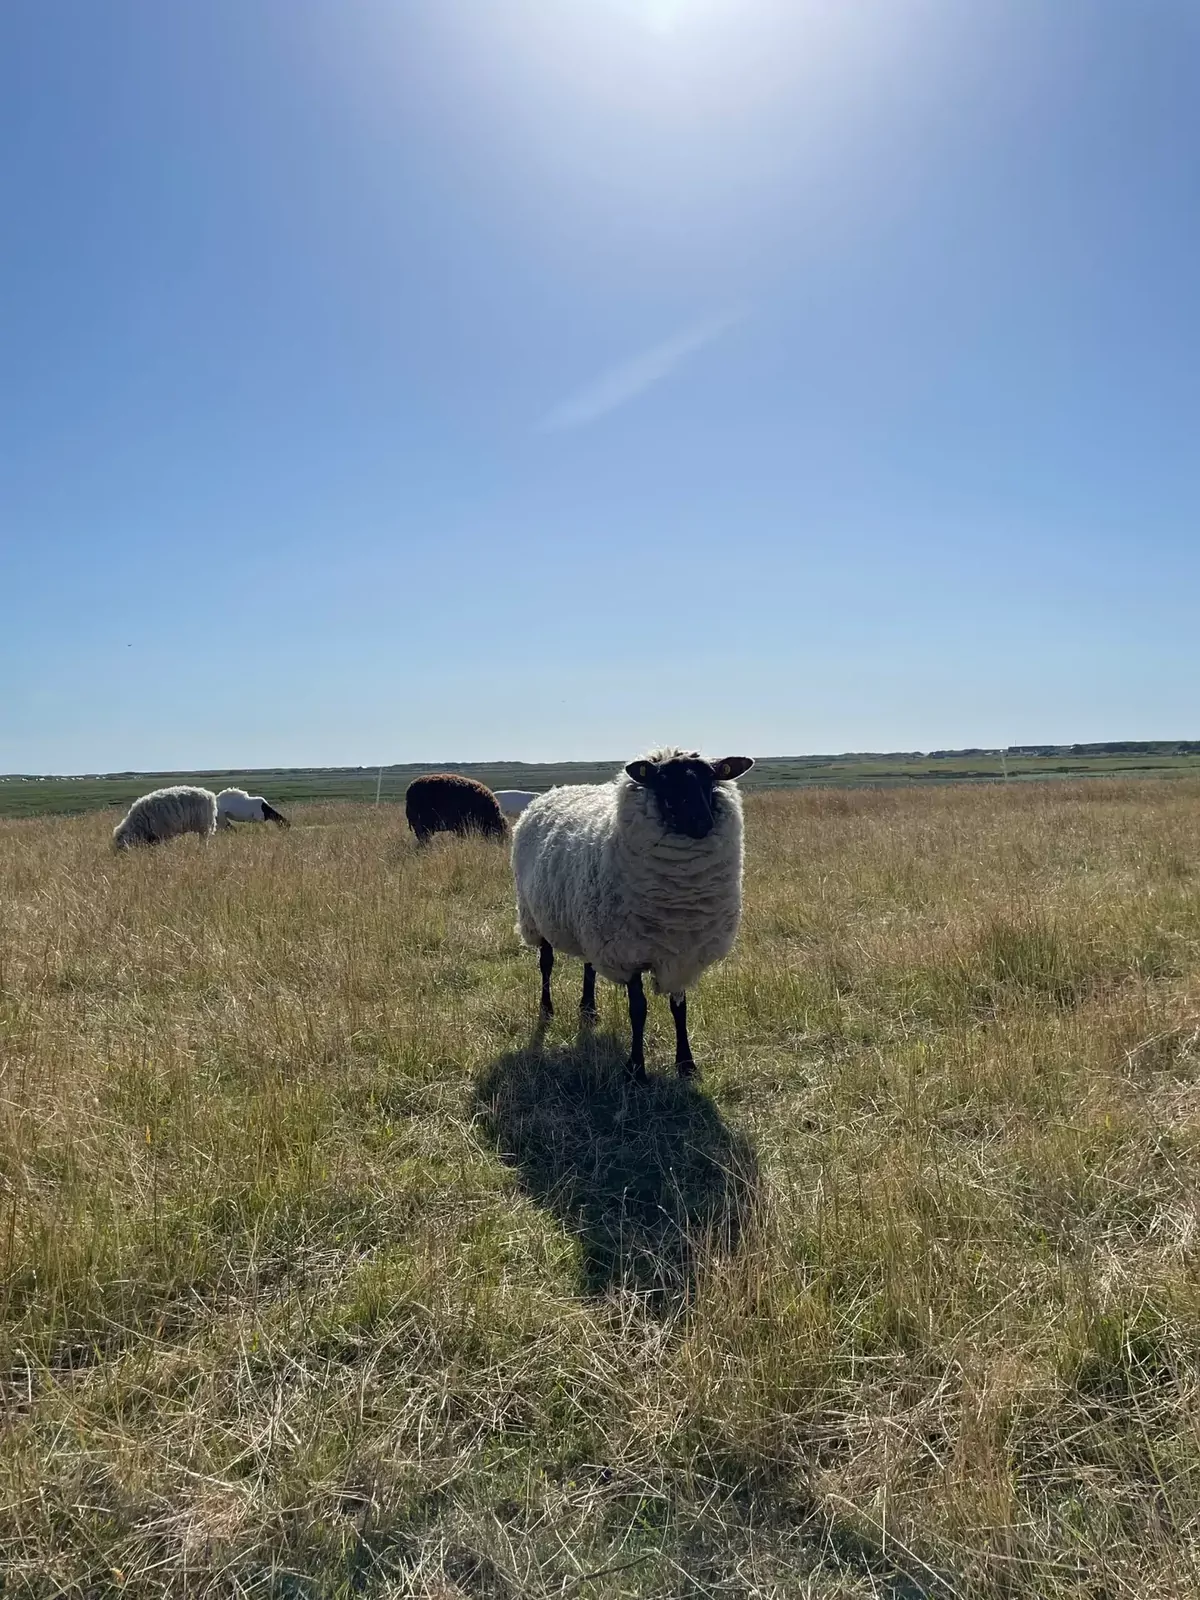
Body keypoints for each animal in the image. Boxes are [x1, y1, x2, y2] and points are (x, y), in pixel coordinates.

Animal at [512, 747, 754, 1080]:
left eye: (710, 778)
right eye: (663, 780)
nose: (701, 822)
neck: (677, 902)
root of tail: (552, 793)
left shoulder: (681, 953)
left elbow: (680, 1008)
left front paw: (686, 1064)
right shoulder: (630, 954)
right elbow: (638, 1009)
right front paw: (636, 1068)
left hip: (590, 922)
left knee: (589, 964)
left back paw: (588, 1008)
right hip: (535, 916)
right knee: (545, 964)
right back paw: (547, 1010)